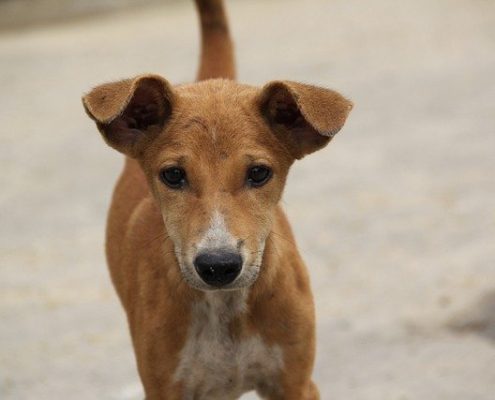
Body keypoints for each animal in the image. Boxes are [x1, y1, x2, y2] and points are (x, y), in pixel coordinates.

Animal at [82, 0, 352, 400]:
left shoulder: (297, 384)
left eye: (259, 173)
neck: (226, 310)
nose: (219, 266)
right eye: (173, 175)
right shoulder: (163, 388)